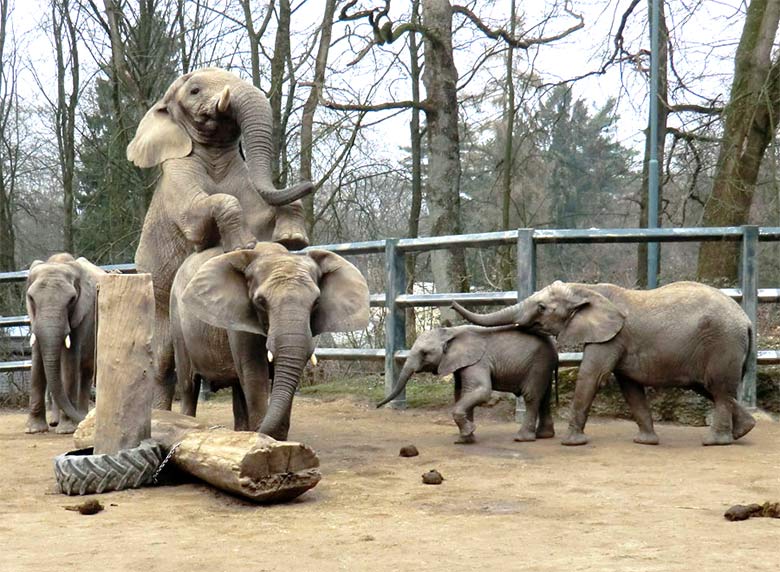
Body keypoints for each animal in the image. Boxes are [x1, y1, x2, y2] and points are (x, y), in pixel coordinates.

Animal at [24, 254, 105, 434]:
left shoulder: (82, 314)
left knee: (86, 371)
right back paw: (58, 421)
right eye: (31, 298)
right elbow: (37, 361)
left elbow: (70, 361)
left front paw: (67, 429)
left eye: (72, 299)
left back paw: (80, 417)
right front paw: (34, 430)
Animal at [125, 67, 314, 408]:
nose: (312, 182)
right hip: (159, 296)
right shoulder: (177, 176)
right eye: (195, 90)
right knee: (164, 361)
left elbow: (262, 212)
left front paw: (292, 239)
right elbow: (201, 213)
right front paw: (243, 245)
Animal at [376, 326, 556, 442]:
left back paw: (522, 438)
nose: (377, 406)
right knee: (544, 396)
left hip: (537, 363)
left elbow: (481, 390)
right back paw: (544, 435)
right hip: (543, 365)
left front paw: (467, 434)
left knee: (531, 396)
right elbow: (462, 393)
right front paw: (466, 439)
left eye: (424, 353)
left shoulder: (477, 361)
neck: (451, 332)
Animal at [450, 280, 756, 446]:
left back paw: (715, 441)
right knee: (712, 389)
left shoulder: (612, 336)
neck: (588, 290)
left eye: (542, 307)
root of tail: (747, 320)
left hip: (722, 343)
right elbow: (629, 387)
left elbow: (591, 376)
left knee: (718, 389)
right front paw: (645, 442)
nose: (452, 304)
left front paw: (571, 443)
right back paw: (744, 430)